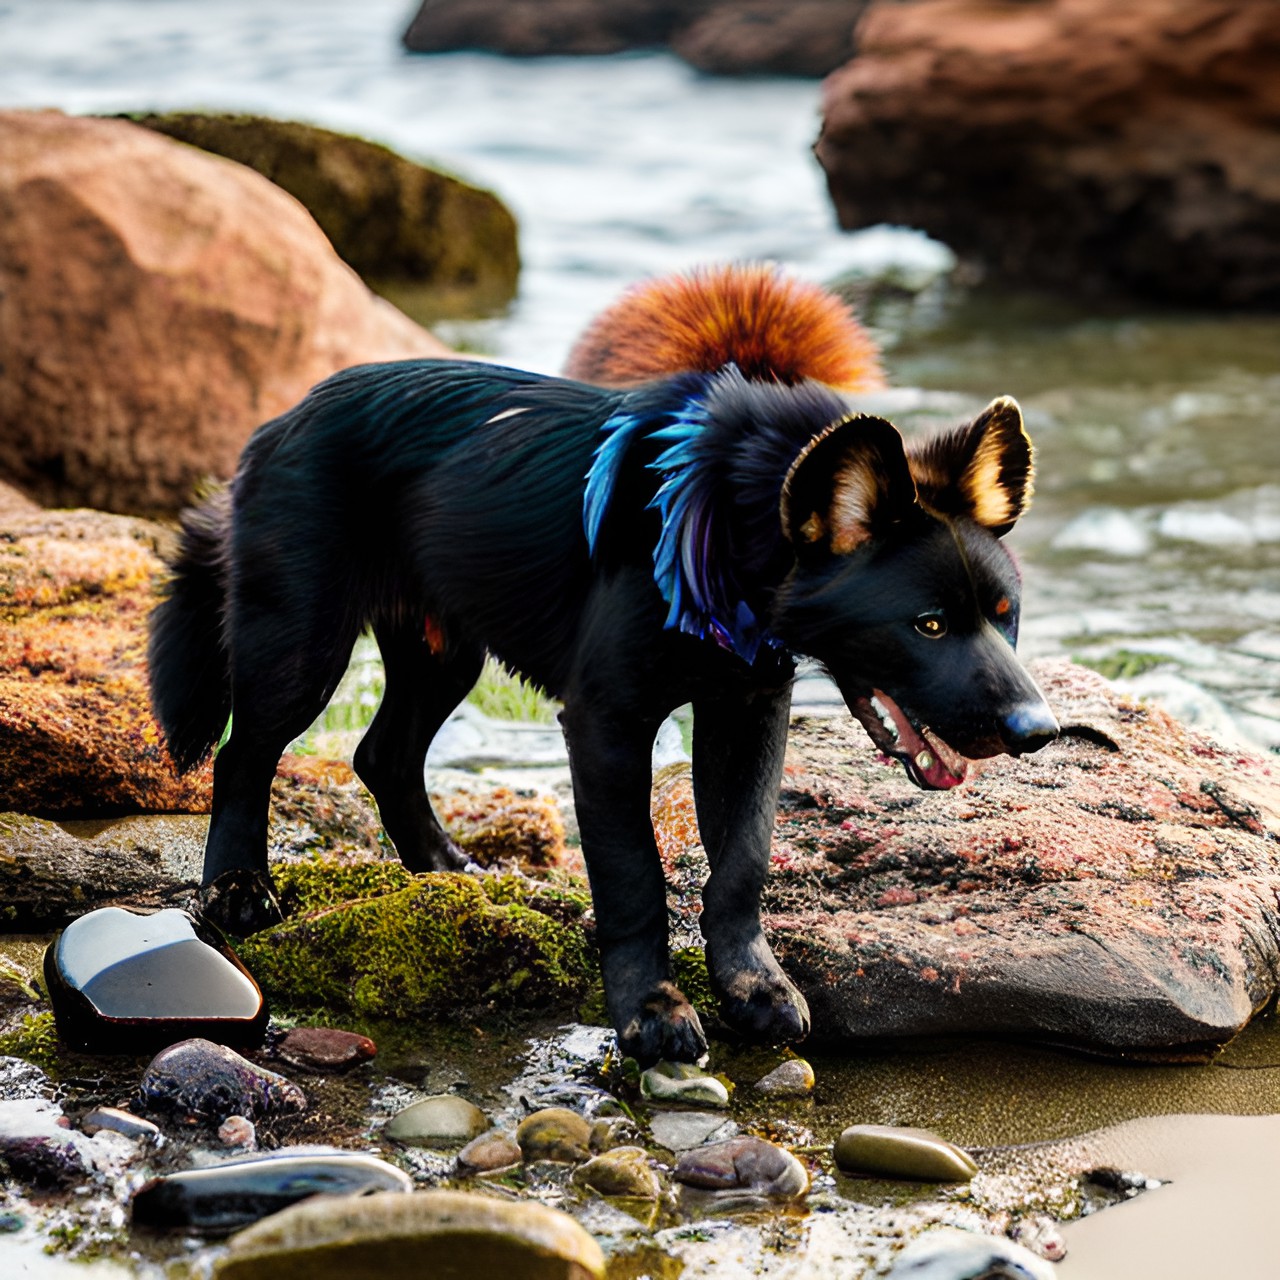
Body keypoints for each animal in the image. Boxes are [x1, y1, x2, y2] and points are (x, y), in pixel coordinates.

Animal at [147, 267, 1059, 1059]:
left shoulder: (747, 710)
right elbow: (633, 879)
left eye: (1006, 619)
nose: (1041, 732)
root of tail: (279, 421)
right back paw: (236, 890)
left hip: (445, 653)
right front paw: (650, 1011)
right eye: (929, 625)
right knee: (244, 753)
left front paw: (753, 988)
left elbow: (743, 861)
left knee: (383, 755)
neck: (727, 522)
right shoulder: (606, 724)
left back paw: (446, 869)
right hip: (303, 645)